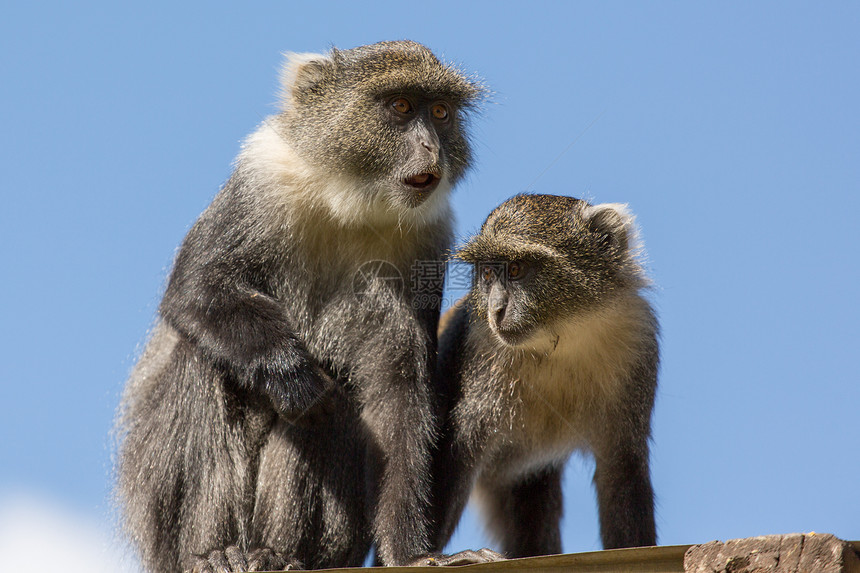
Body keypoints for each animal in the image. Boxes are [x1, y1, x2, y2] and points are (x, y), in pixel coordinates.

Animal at [116, 41, 488, 572]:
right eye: (400, 106)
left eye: (440, 113)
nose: (431, 148)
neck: (350, 202)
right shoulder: (261, 182)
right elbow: (195, 290)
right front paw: (288, 372)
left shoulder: (427, 240)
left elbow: (397, 388)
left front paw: (413, 554)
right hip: (160, 517)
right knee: (206, 363)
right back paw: (214, 552)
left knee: (333, 406)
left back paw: (276, 553)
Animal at [430, 194, 660, 556]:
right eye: (487, 273)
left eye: (515, 270)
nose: (496, 310)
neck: (561, 336)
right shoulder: (481, 351)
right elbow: (458, 448)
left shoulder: (637, 344)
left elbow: (621, 466)